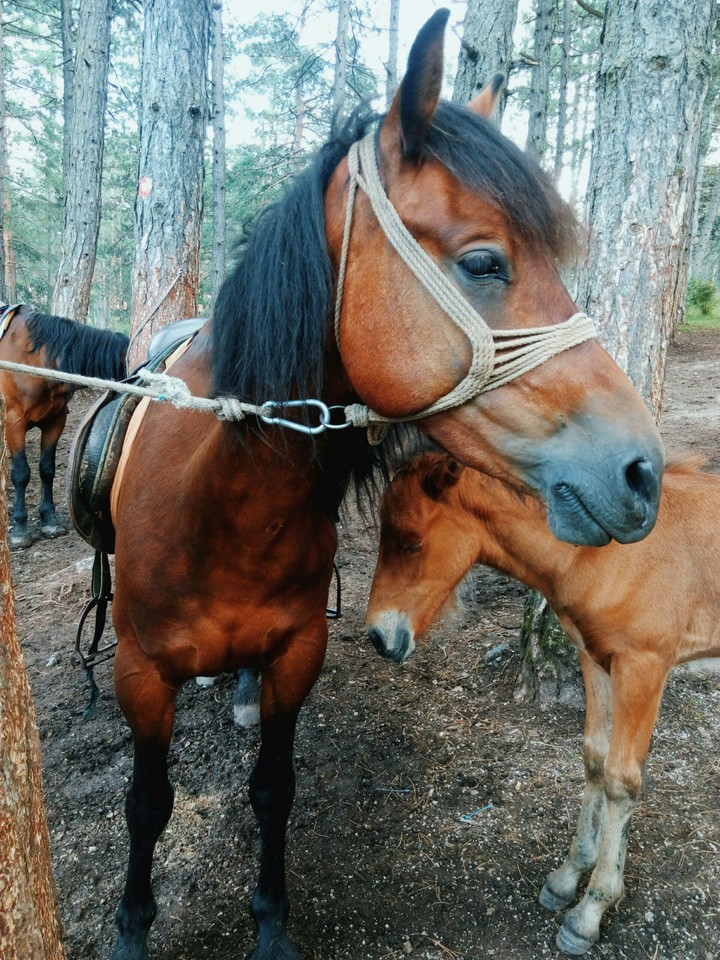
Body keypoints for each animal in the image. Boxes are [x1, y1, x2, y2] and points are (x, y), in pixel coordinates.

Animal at [0, 303, 128, 549]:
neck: (34, 360)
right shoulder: (13, 422)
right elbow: (21, 473)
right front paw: (20, 528)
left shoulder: (56, 421)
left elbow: (47, 469)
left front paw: (49, 519)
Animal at [103, 11, 665, 960]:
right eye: (485, 262)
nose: (644, 471)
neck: (215, 507)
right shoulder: (140, 673)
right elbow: (146, 805)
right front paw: (132, 926)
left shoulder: (297, 654)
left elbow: (274, 790)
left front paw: (271, 921)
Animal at [366, 451, 720, 954]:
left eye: (411, 542)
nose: (379, 637)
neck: (612, 553)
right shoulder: (596, 659)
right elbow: (595, 759)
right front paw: (569, 876)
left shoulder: (645, 666)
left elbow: (622, 781)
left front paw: (591, 911)